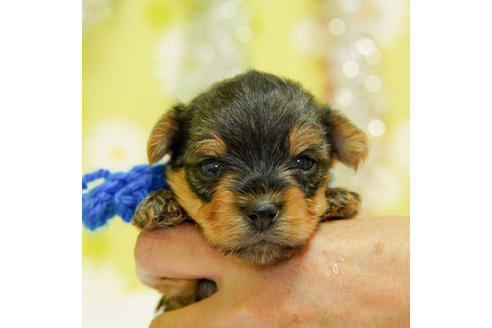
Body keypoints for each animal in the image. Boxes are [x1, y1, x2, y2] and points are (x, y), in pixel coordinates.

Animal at [133, 70, 368, 312]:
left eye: (304, 162)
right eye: (210, 166)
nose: (262, 212)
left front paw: (338, 198)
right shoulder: (178, 295)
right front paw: (161, 203)